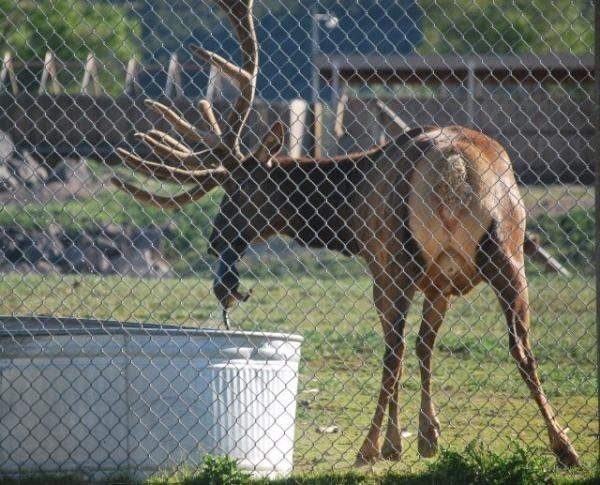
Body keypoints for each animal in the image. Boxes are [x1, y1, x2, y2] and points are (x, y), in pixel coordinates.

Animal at [110, 0, 580, 466]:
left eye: (239, 190)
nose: (215, 241)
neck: (349, 217)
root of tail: (453, 167)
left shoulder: (381, 266)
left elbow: (405, 351)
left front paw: (398, 443)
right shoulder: (440, 282)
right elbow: (426, 347)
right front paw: (429, 436)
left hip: (401, 258)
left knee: (393, 352)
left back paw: (369, 447)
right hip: (508, 249)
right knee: (520, 348)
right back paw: (564, 446)